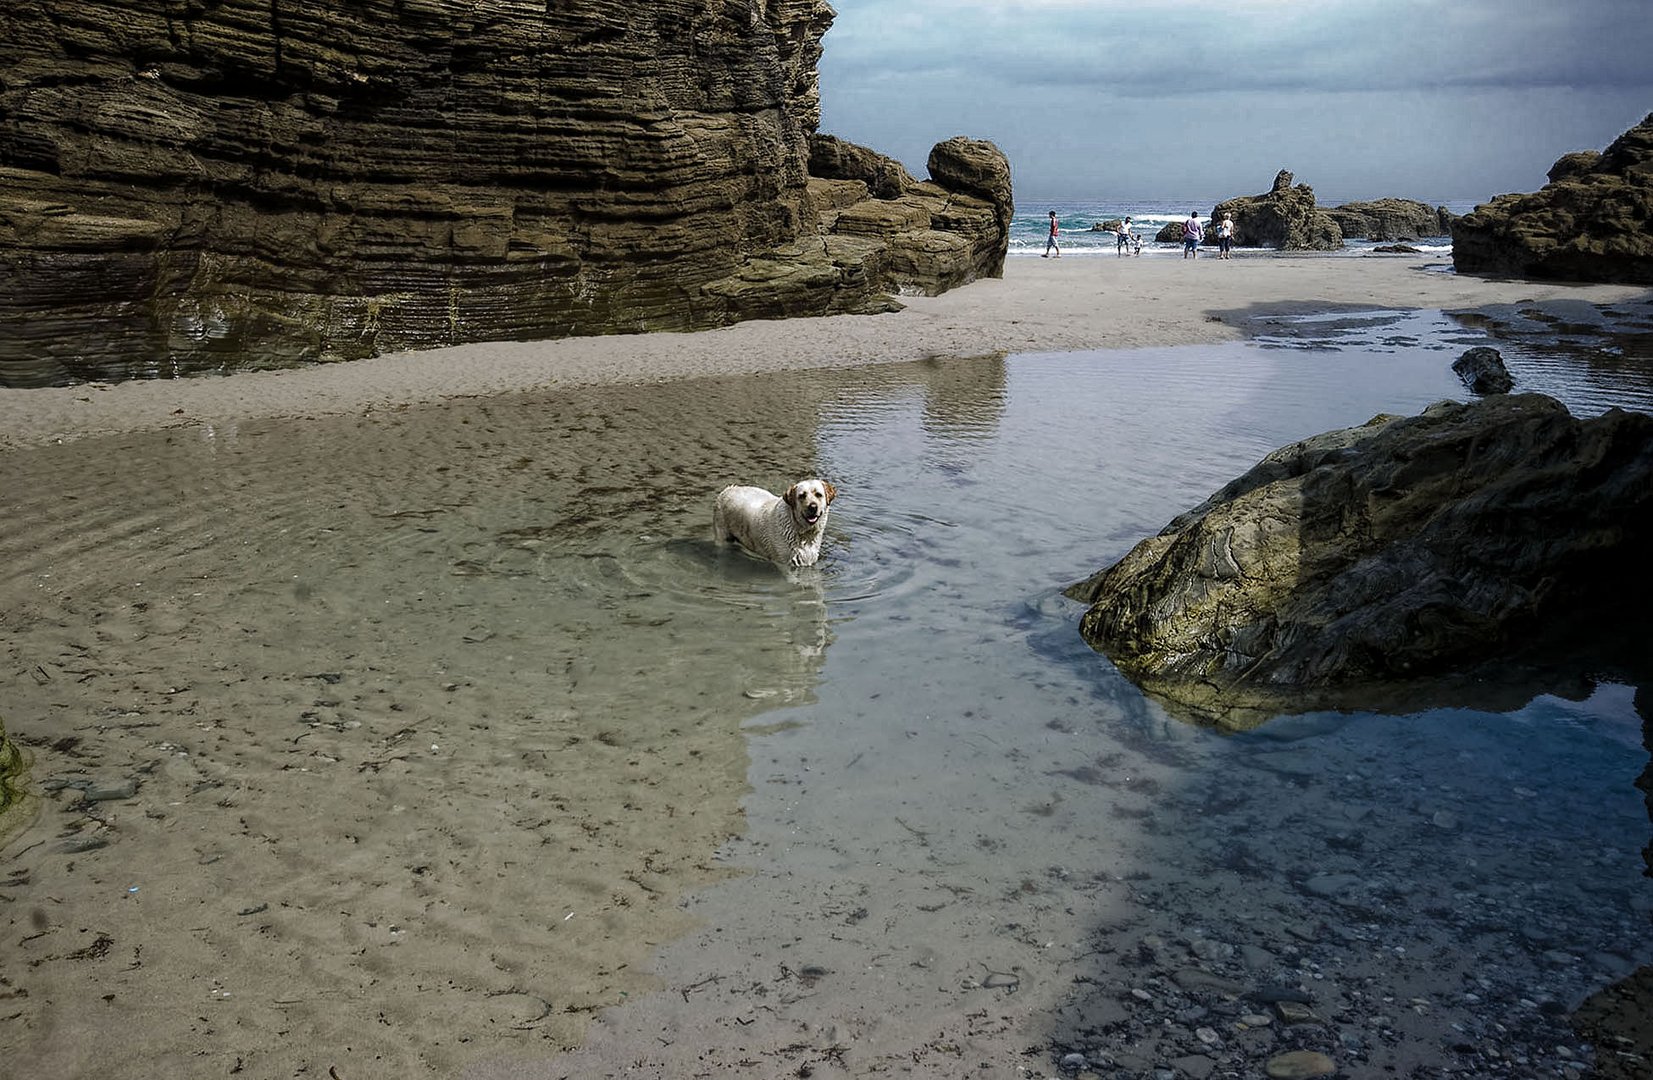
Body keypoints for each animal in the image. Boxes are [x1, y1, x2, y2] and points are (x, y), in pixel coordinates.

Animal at [710, 479, 839, 568]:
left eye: (818, 494)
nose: (812, 507)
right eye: (802, 496)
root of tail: (727, 489)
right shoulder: (785, 563)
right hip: (722, 536)